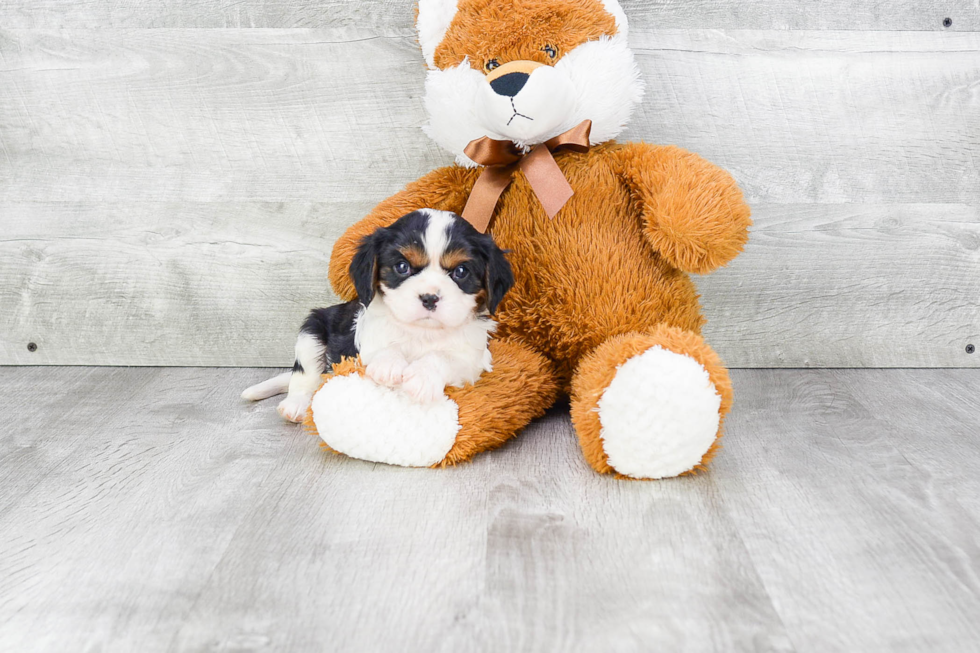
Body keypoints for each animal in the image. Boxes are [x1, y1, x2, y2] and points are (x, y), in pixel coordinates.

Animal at [241, 210, 512, 422]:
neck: (422, 332)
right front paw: (388, 364)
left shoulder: (473, 359)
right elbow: (384, 346)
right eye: (402, 267)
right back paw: (295, 405)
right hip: (312, 330)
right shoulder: (363, 339)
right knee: (305, 375)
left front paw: (422, 378)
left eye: (461, 271)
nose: (429, 298)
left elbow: (443, 357)